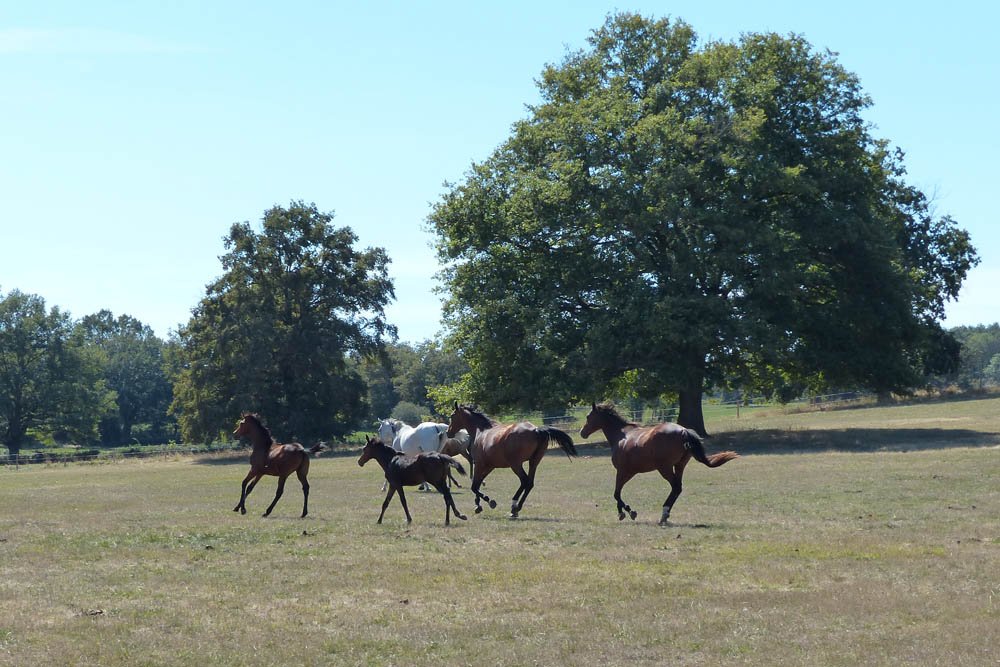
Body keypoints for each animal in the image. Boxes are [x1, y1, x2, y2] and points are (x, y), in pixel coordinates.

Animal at [446, 402, 578, 518]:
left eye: (452, 416)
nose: (448, 432)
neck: (481, 431)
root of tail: (536, 430)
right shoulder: (489, 466)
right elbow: (477, 484)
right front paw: (478, 506)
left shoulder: (479, 465)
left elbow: (474, 486)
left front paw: (489, 501)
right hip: (533, 462)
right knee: (529, 483)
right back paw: (516, 508)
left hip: (516, 464)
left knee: (524, 481)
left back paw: (514, 506)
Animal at [578, 402, 739, 525]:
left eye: (588, 416)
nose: (582, 432)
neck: (621, 436)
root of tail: (684, 431)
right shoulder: (630, 472)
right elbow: (617, 493)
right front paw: (626, 512)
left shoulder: (623, 471)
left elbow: (616, 493)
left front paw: (627, 512)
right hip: (679, 466)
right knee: (677, 488)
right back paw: (665, 515)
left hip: (665, 468)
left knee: (675, 487)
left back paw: (663, 515)